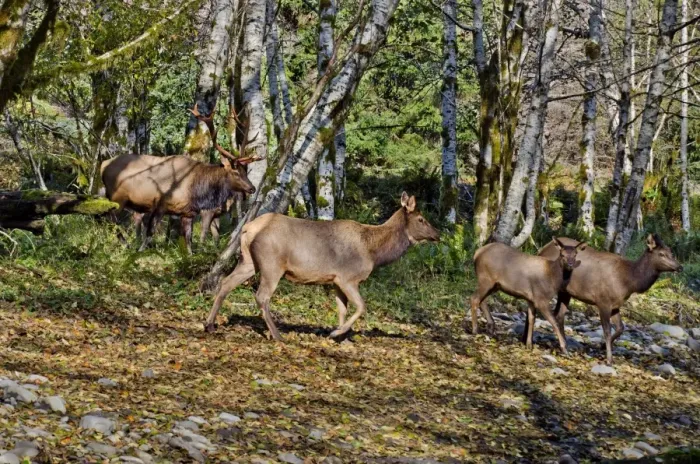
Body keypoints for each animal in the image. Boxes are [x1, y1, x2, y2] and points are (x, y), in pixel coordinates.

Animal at [100, 104, 259, 253]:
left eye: (245, 172)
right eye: (235, 172)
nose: (252, 188)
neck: (197, 191)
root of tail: (103, 165)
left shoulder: (187, 213)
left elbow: (188, 240)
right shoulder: (160, 204)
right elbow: (151, 232)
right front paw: (140, 251)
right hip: (118, 197)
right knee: (109, 217)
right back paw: (125, 244)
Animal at [204, 192, 441, 340]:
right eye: (421, 219)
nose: (437, 234)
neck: (374, 253)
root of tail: (248, 229)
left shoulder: (335, 280)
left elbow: (342, 309)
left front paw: (341, 336)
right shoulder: (348, 277)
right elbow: (361, 306)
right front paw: (336, 333)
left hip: (248, 261)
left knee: (226, 283)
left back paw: (209, 324)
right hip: (272, 264)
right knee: (262, 296)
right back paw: (277, 335)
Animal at [527, 234, 683, 364]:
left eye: (671, 252)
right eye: (661, 254)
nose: (679, 267)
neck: (629, 281)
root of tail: (542, 249)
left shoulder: (615, 305)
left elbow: (621, 328)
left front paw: (602, 346)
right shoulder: (603, 301)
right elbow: (607, 331)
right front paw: (609, 359)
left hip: (566, 292)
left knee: (558, 315)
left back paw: (563, 345)